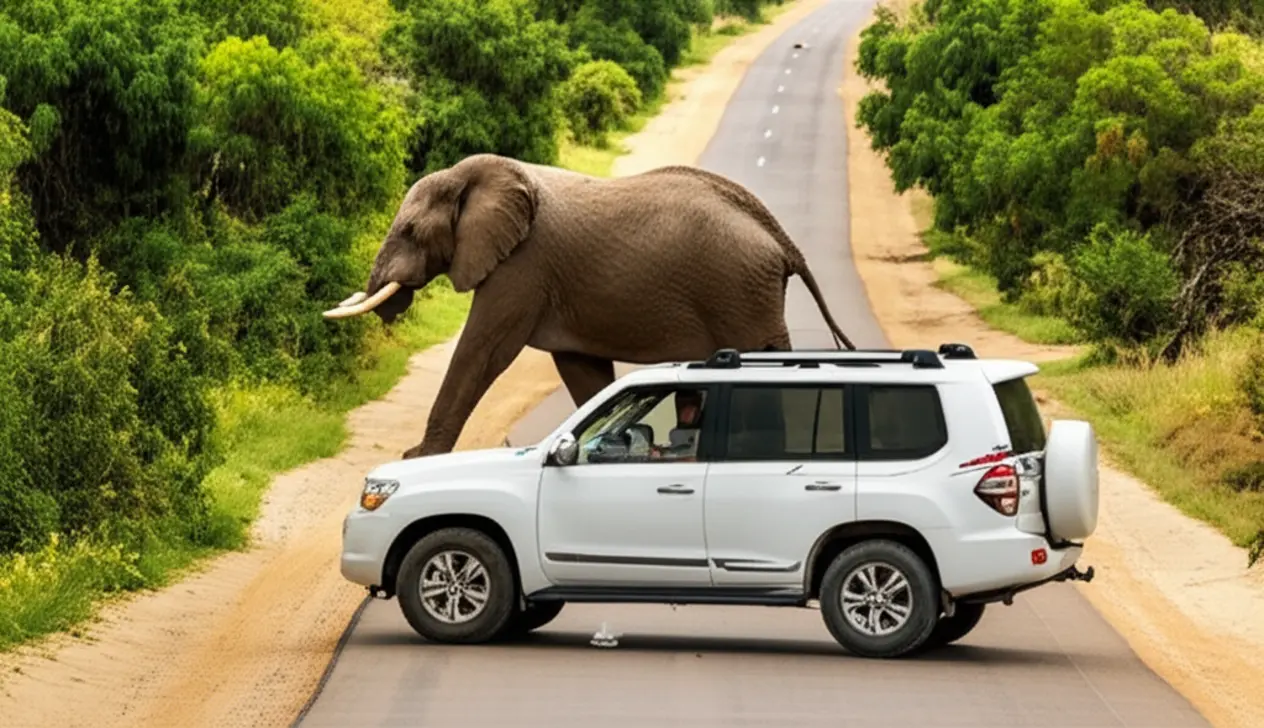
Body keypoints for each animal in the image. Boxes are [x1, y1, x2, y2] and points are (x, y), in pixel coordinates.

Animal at [325, 153, 855, 459]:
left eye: (411, 230)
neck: (472, 177)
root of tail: (781, 239)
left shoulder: (522, 266)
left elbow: (483, 350)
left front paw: (418, 458)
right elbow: (583, 371)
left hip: (741, 294)